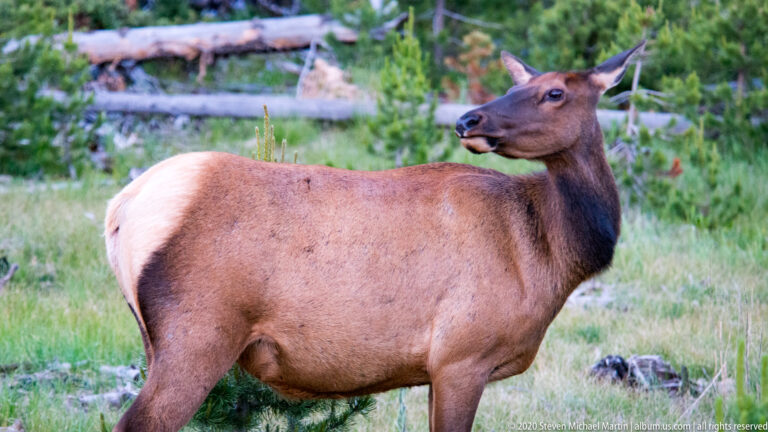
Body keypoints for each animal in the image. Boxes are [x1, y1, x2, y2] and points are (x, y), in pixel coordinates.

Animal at [104, 41, 644, 432]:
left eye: (555, 92)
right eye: (533, 85)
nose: (468, 119)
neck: (548, 254)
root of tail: (121, 207)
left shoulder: (436, 369)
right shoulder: (462, 355)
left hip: (155, 339)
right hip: (198, 333)